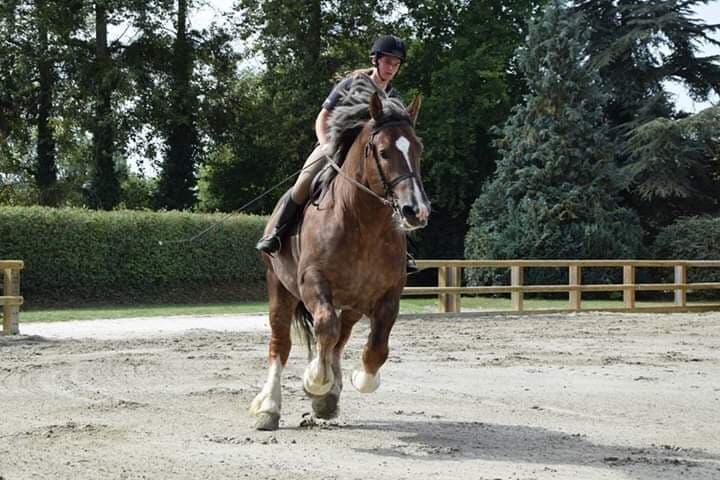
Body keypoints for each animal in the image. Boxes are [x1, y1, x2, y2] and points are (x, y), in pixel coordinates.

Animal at [249, 76, 428, 432]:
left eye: (418, 149)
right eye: (384, 152)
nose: (416, 211)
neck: (363, 223)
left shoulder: (388, 294)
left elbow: (377, 347)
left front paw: (355, 381)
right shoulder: (312, 283)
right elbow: (324, 328)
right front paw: (315, 381)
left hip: (353, 302)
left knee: (340, 338)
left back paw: (328, 399)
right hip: (280, 288)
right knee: (282, 343)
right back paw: (270, 407)